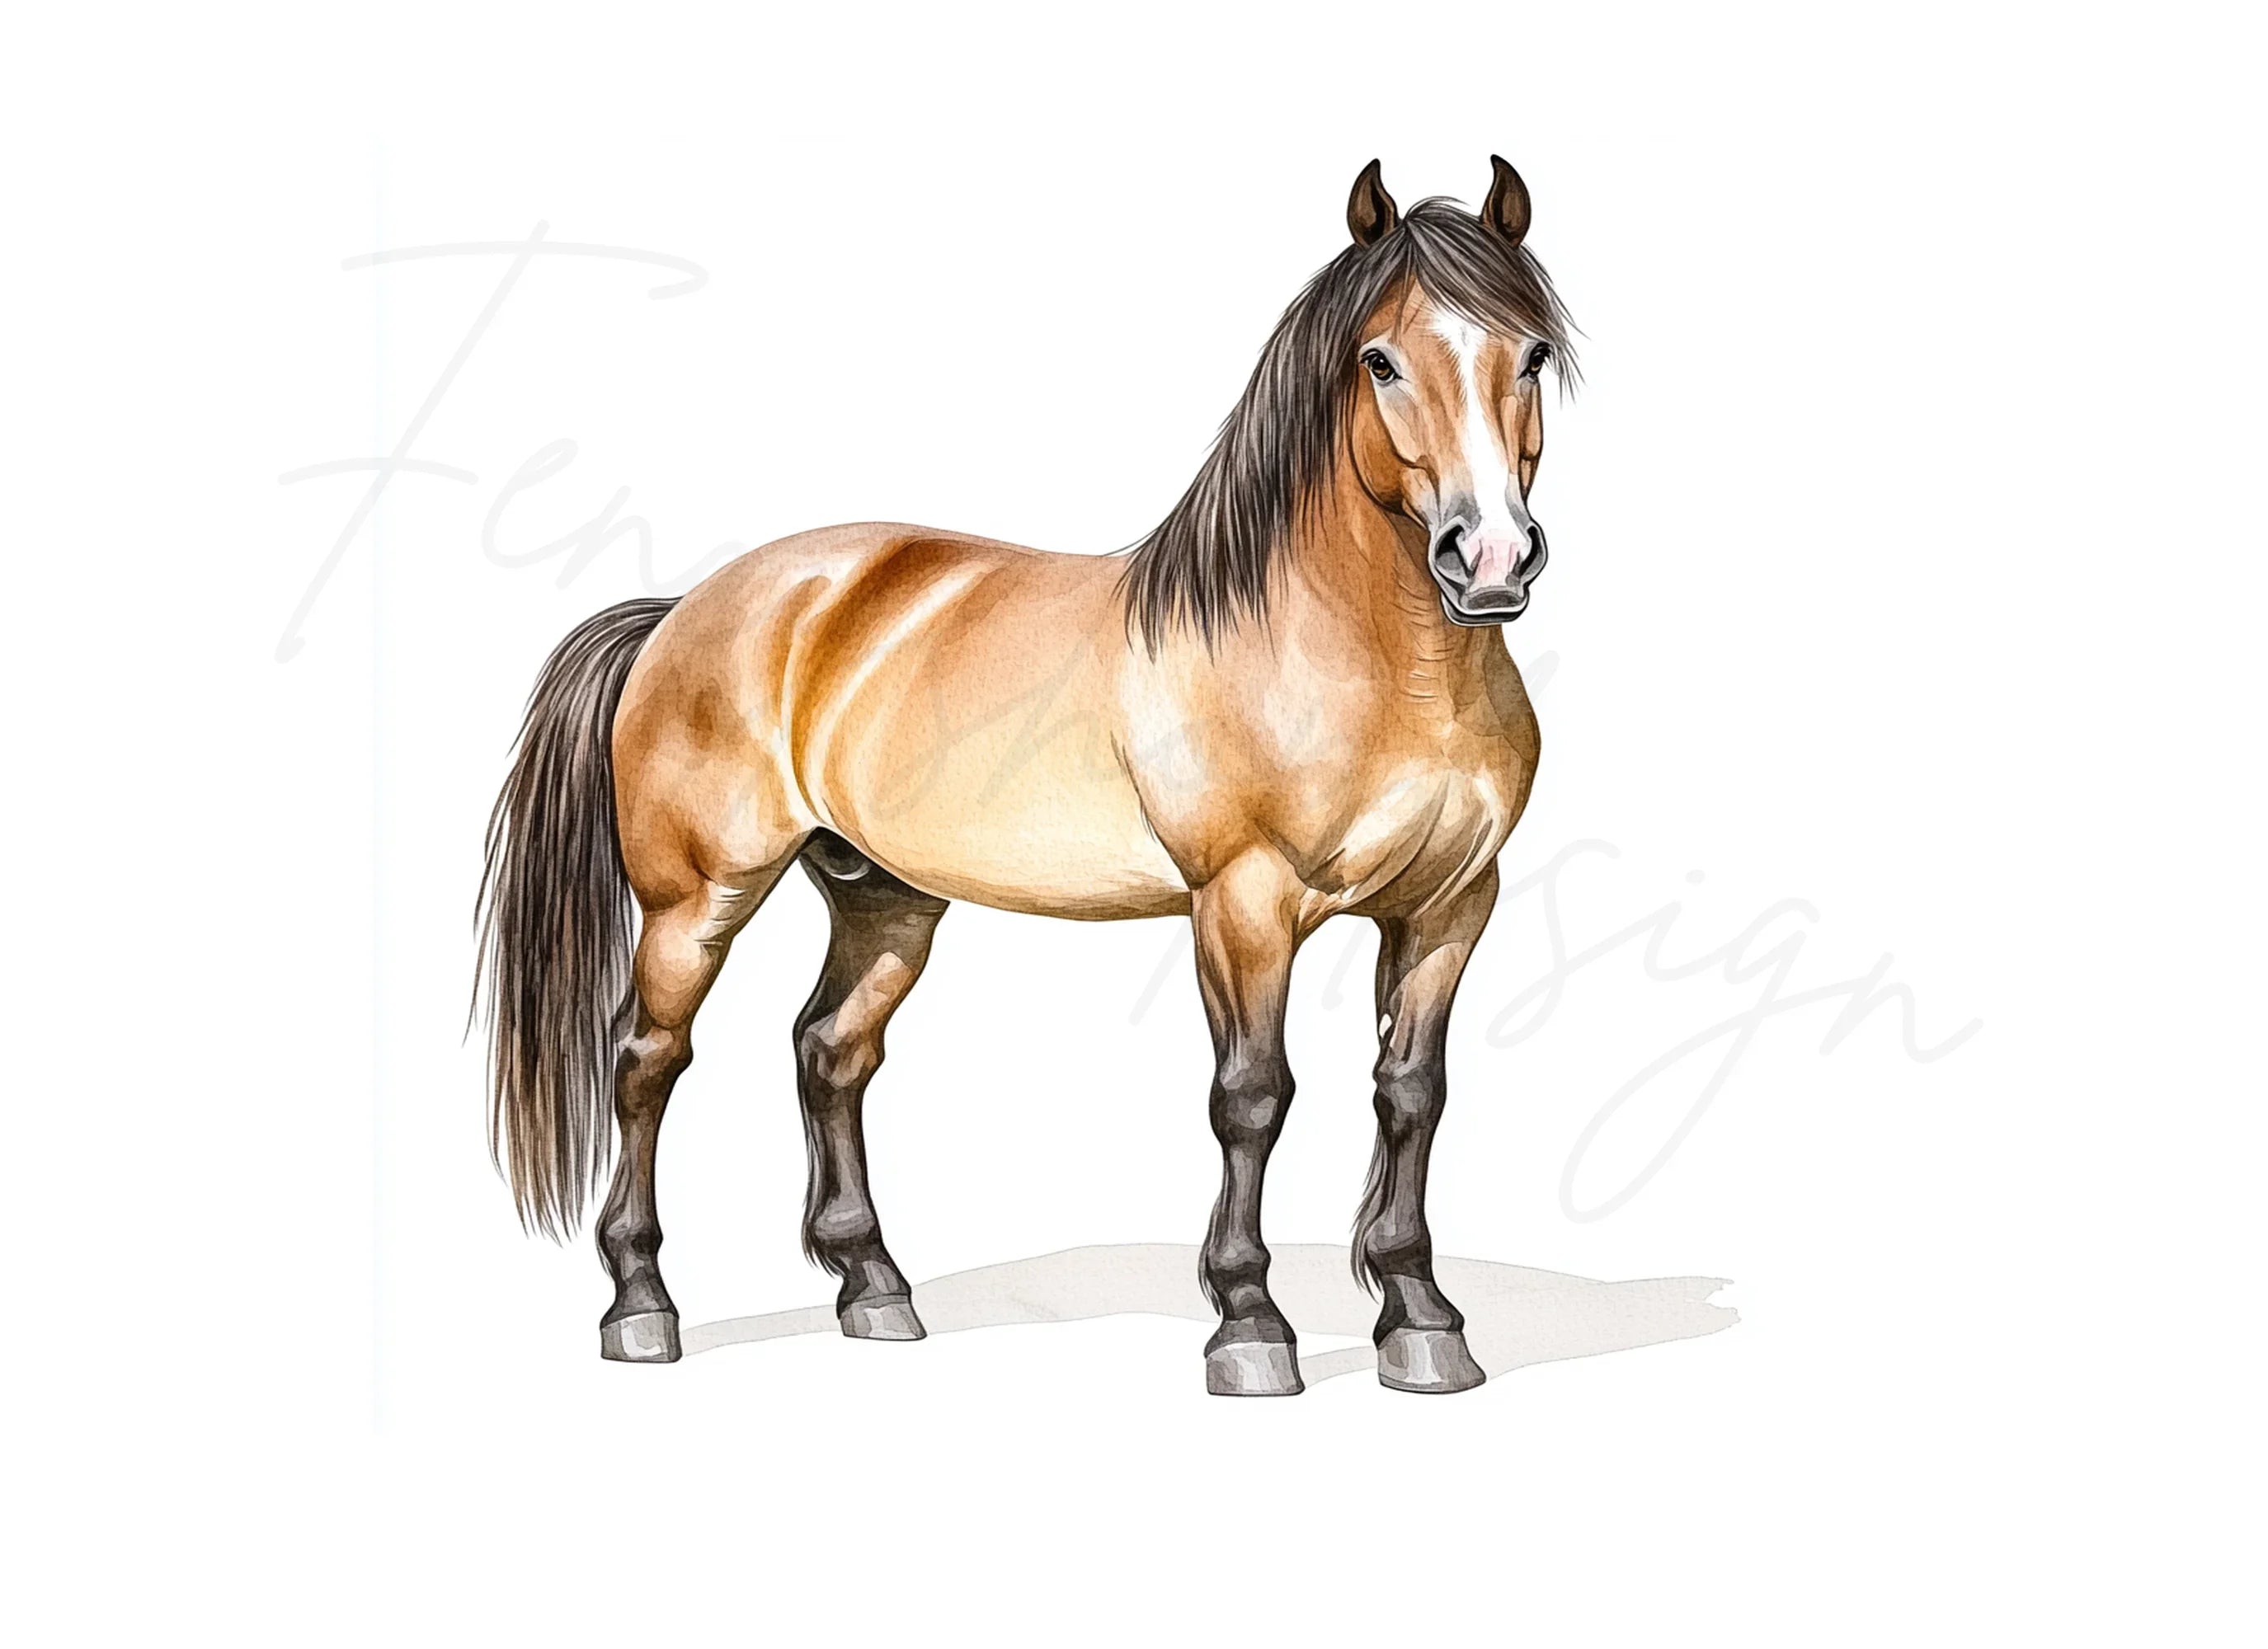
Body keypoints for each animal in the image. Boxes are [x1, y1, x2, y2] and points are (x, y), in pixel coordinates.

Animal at [476, 157, 1577, 1395]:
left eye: (1531, 353)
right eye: (1379, 360)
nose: (1489, 558)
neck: (1370, 664)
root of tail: (686, 610)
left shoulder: (1449, 908)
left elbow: (1412, 1094)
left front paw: (1421, 1319)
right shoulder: (1242, 904)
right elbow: (1251, 1097)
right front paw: (1248, 1324)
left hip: (884, 898)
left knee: (830, 1050)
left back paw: (874, 1289)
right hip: (694, 901)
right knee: (646, 1061)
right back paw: (639, 1305)